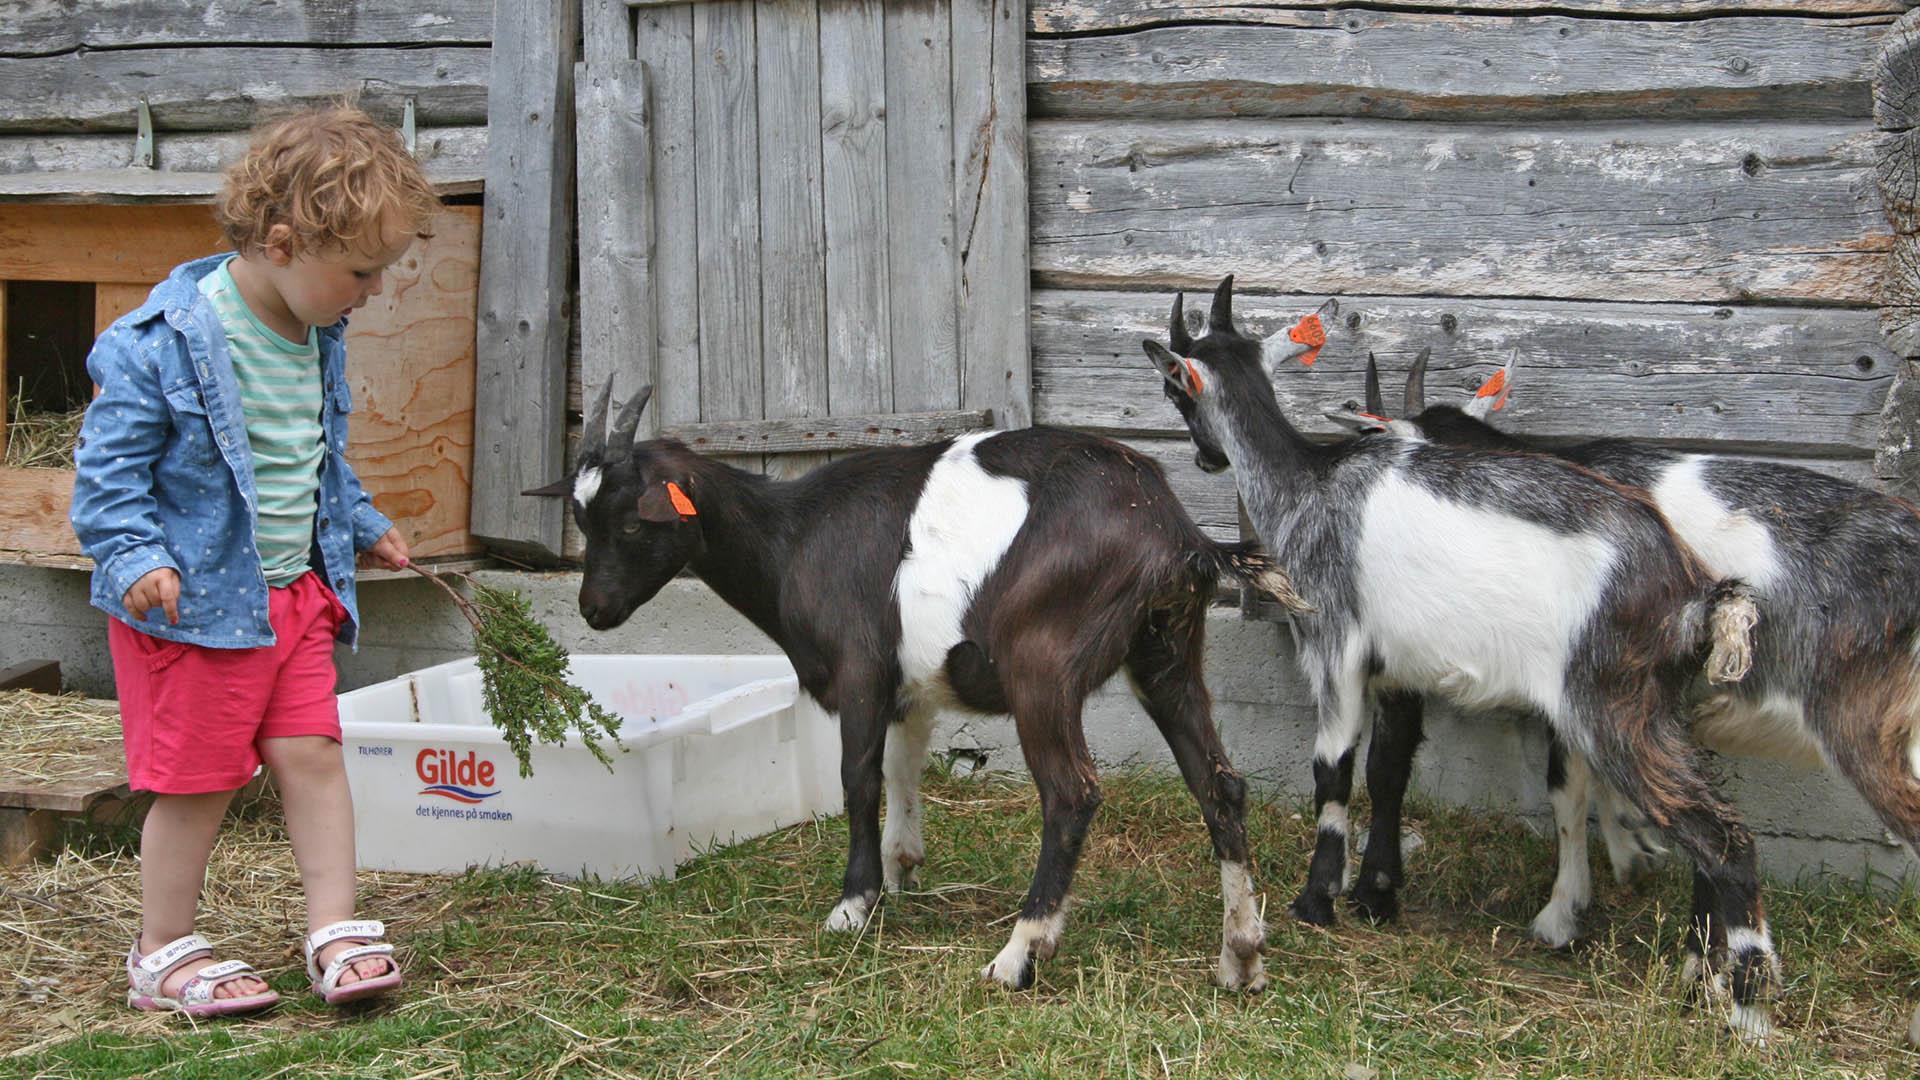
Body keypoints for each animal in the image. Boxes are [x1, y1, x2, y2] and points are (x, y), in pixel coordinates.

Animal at [526, 382, 1305, 991]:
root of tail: (1179, 536)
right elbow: (904, 770)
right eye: (581, 516)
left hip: (1043, 666)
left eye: (633, 522)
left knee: (1072, 794)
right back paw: (1241, 955)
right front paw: (900, 869)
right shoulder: (909, 685)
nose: (594, 610)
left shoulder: (859, 667)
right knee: (1220, 785)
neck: (793, 537)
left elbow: (858, 777)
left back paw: (1018, 954)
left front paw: (854, 903)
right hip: (1166, 653)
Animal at [1136, 274, 1781, 1037]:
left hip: (1609, 703)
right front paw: (1374, 893)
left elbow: (1332, 770)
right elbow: (1385, 770)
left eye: (1176, 390)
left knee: (1720, 836)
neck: (1310, 486)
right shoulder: (1393, 669)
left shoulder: (1333, 643)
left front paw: (1317, 899)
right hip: (1659, 705)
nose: (1206, 458)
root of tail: (1697, 591)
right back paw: (1698, 974)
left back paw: (1744, 1006)